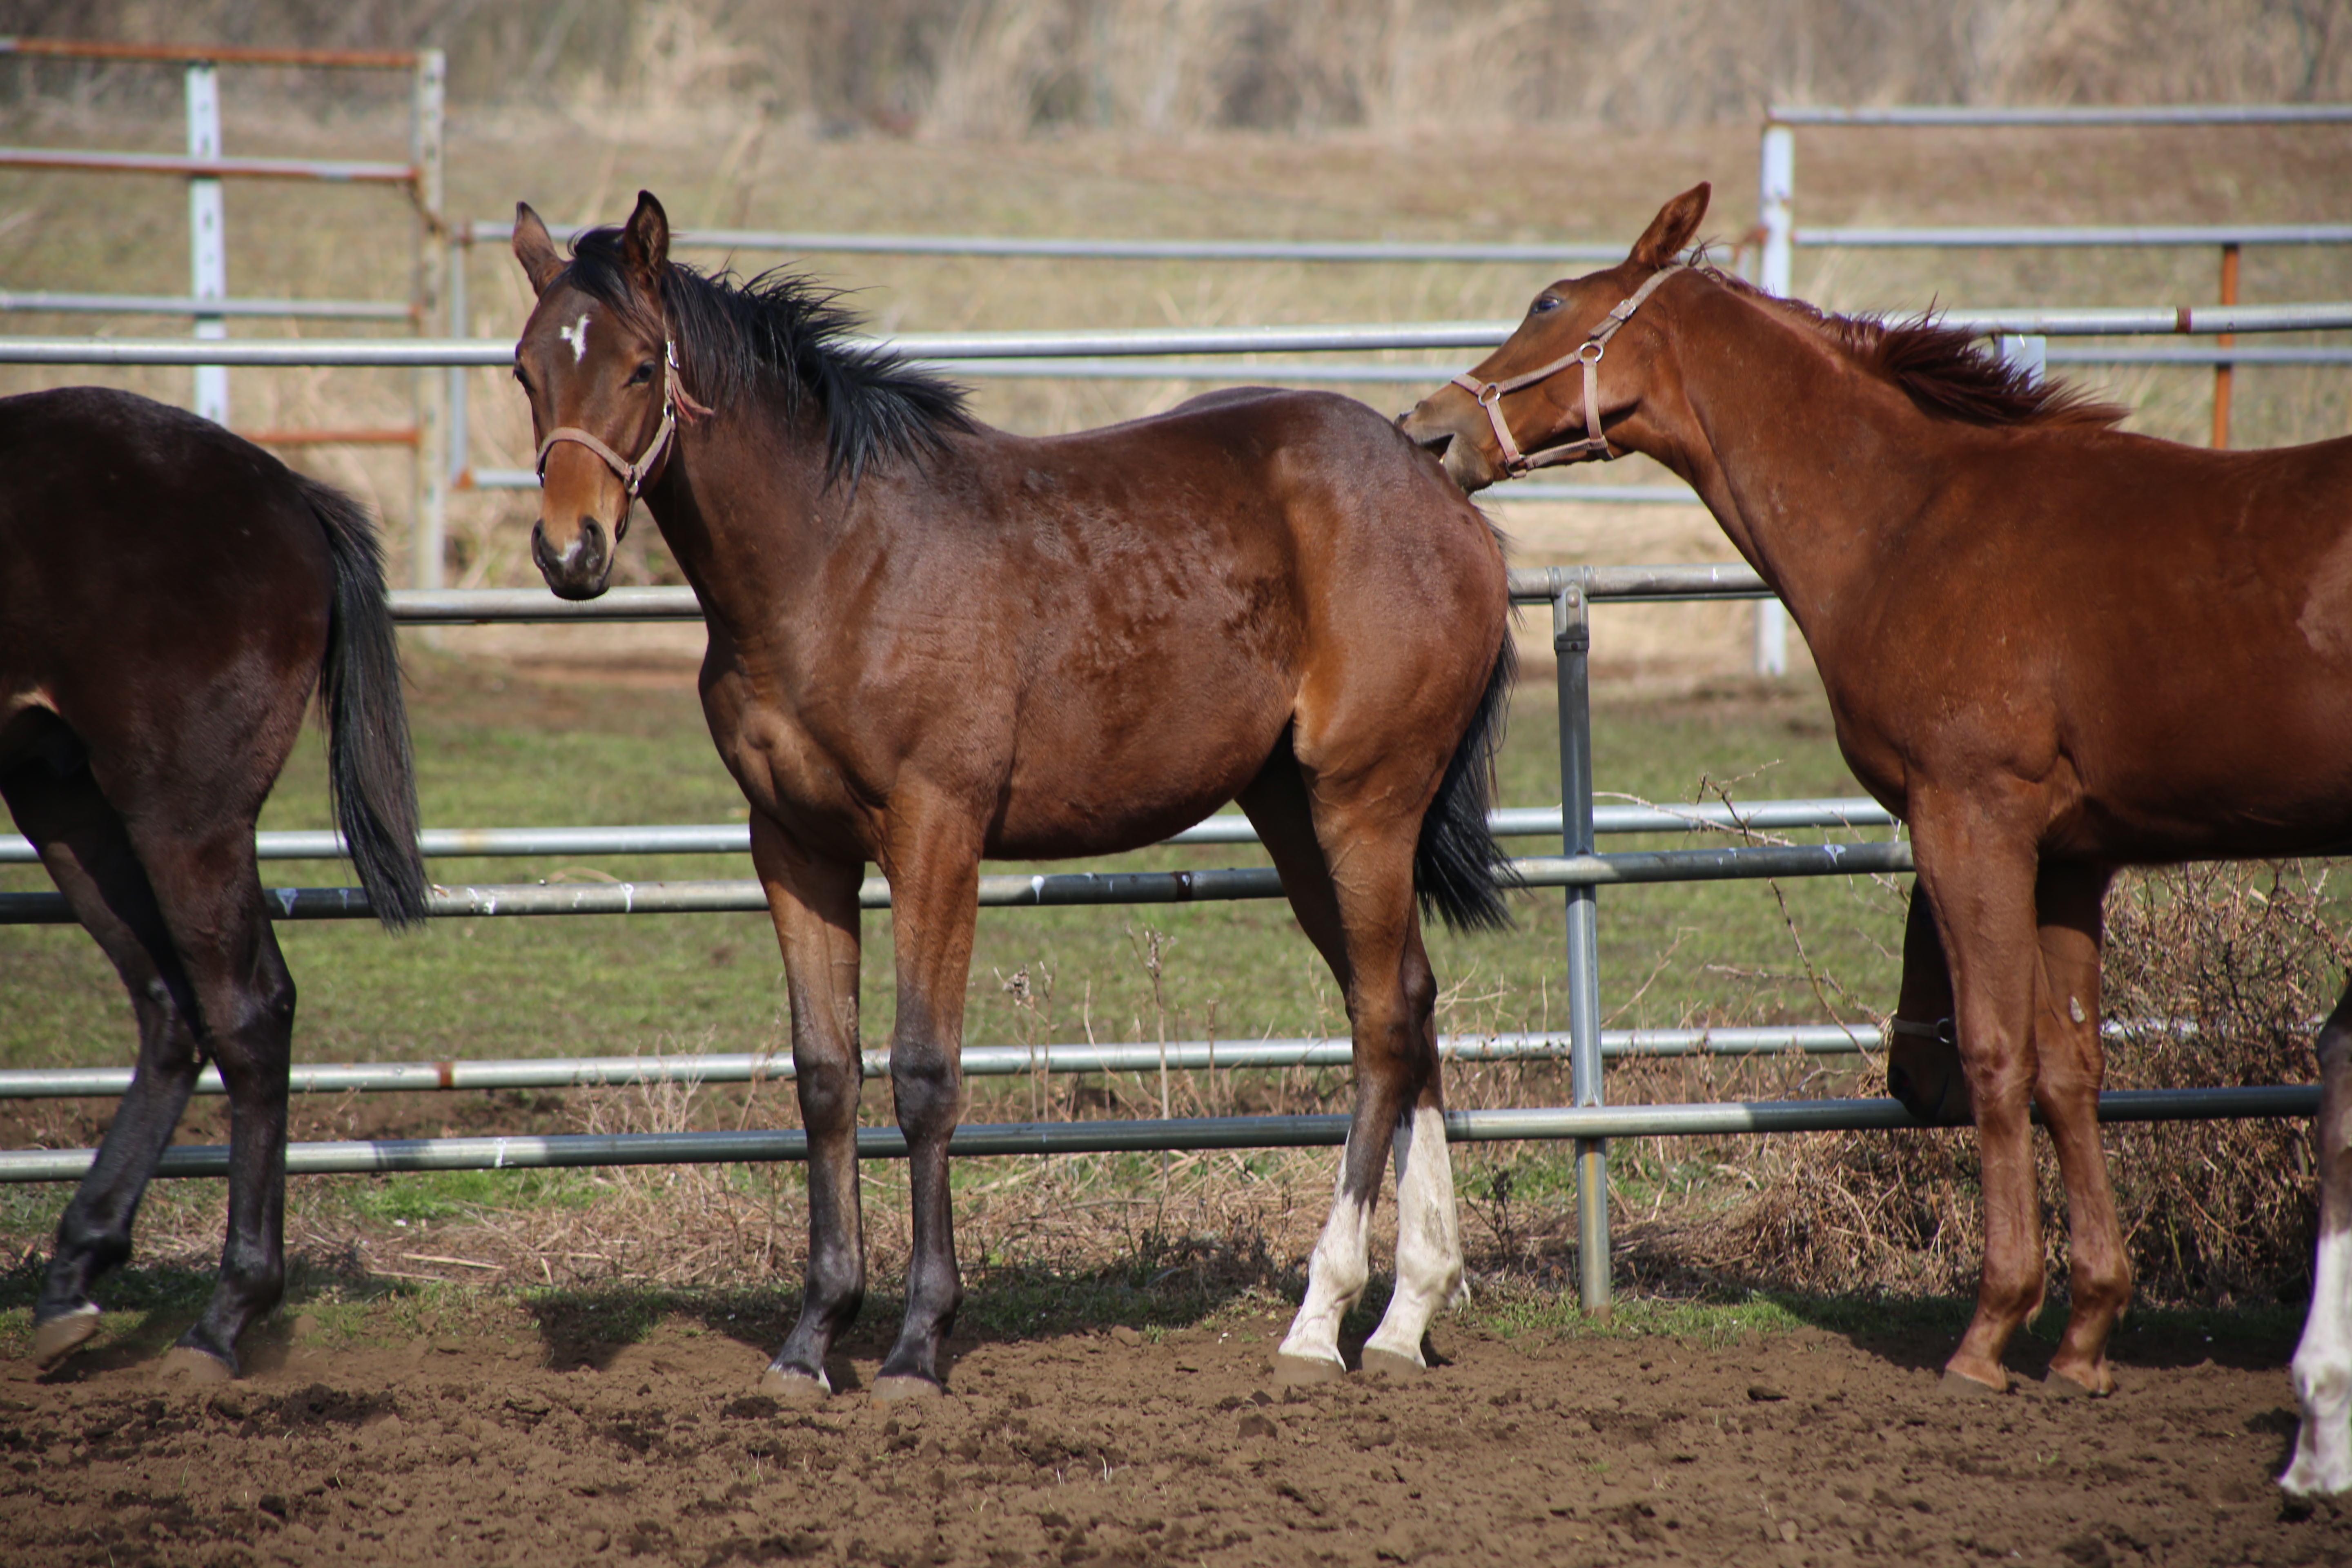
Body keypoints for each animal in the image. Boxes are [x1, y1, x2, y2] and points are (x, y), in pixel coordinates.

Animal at [4, 385, 425, 1382]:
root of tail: (285, 489)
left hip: (180, 815)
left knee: (247, 1009)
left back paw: (223, 1319)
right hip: (66, 800)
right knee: (171, 1005)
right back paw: (75, 1278)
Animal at [506, 190, 1515, 1401]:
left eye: (640, 365)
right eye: (525, 368)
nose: (569, 550)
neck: (838, 560)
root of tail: (1439, 490)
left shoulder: (935, 831)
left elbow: (924, 1077)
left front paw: (916, 1345)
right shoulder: (793, 846)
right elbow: (827, 1077)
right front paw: (812, 1340)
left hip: (1365, 803)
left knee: (1377, 1024)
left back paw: (1321, 1320)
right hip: (1296, 815)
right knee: (1409, 1001)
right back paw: (1407, 1313)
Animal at [1392, 184, 2352, 1495]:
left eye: (1549, 304)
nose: (1428, 432)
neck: (1920, 519)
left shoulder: (1969, 821)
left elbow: (1996, 1056)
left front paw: (1990, 1329)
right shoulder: (2071, 859)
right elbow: (2071, 1071)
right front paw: (2085, 1335)